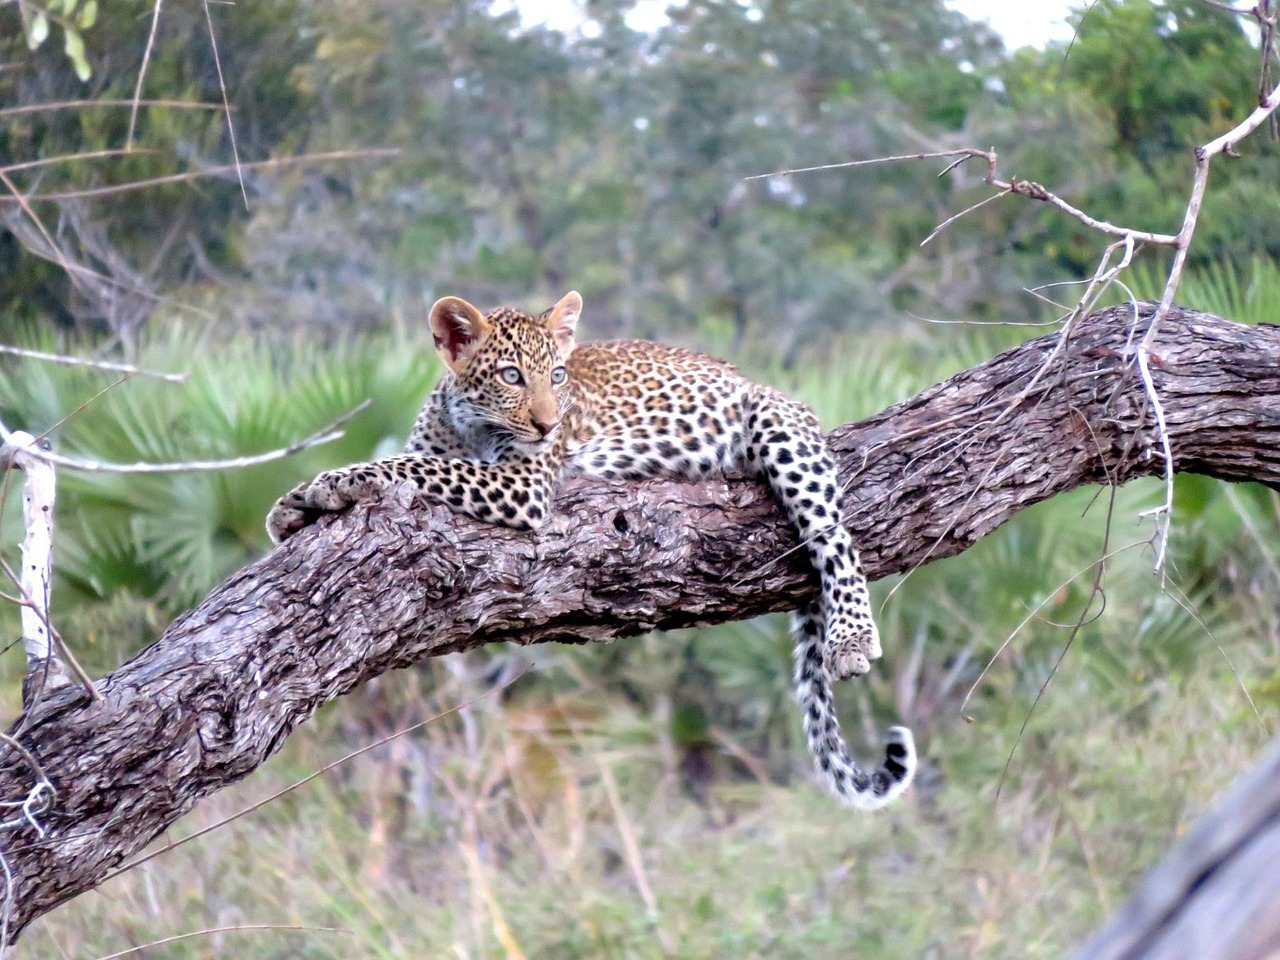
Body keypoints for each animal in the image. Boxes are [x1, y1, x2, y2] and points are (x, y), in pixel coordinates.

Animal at [268, 291, 916, 809]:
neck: (469, 427)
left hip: (778, 425)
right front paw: (294, 508)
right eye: (511, 376)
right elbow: (418, 458)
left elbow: (417, 466)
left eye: (557, 376)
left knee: (835, 537)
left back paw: (852, 638)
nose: (549, 425)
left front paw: (326, 484)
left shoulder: (522, 484)